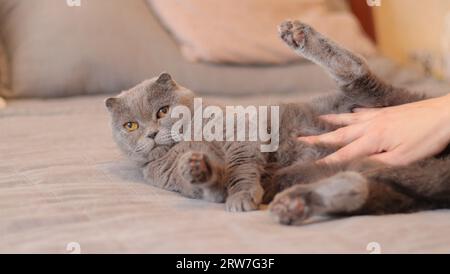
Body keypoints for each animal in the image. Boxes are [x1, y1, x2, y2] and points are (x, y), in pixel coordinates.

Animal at [106, 20, 450, 225]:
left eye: (162, 111)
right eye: (130, 126)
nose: (151, 133)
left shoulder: (240, 132)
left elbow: (240, 166)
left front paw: (242, 198)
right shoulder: (175, 182)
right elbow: (212, 187)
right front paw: (196, 168)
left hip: (372, 100)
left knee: (356, 70)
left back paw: (297, 34)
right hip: (371, 174)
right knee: (360, 188)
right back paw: (297, 204)